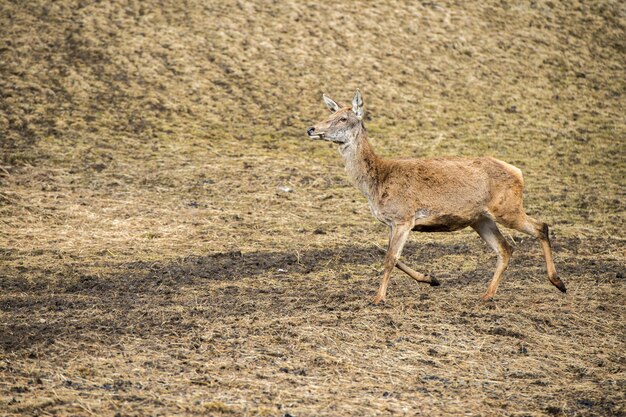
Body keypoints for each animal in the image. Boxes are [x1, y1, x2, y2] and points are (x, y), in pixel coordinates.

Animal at [308, 89, 564, 302]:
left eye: (343, 118)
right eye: (331, 112)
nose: (311, 129)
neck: (376, 184)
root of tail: (518, 172)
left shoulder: (404, 217)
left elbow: (390, 259)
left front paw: (378, 298)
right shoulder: (393, 223)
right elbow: (391, 256)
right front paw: (431, 279)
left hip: (507, 208)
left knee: (540, 226)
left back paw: (558, 282)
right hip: (481, 219)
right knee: (506, 247)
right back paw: (487, 294)